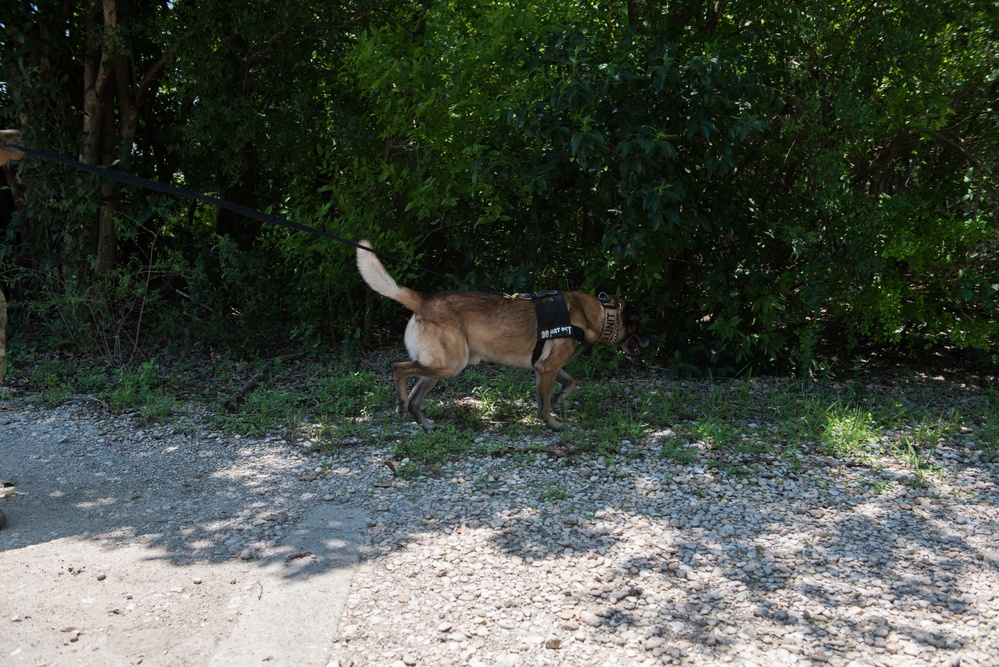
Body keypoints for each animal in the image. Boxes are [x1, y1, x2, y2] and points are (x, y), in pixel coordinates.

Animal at [356, 243, 652, 430]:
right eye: (638, 323)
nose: (649, 341)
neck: (598, 313)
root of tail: (424, 300)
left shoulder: (545, 368)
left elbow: (566, 386)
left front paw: (555, 404)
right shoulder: (547, 368)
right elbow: (547, 403)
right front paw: (552, 423)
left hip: (440, 367)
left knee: (416, 395)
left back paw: (425, 424)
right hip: (450, 364)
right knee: (399, 368)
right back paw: (401, 404)